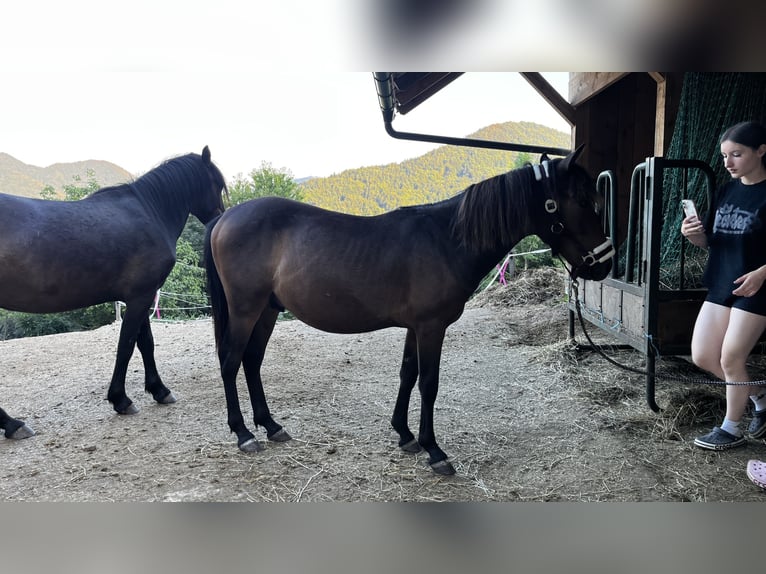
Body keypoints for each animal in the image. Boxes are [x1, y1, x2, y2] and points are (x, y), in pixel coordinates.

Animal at [0, 146, 227, 440]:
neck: (151, 210)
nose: (221, 219)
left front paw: (159, 390)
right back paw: (12, 424)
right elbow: (127, 346)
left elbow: (145, 343)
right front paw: (121, 399)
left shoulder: (140, 296)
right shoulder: (141, 297)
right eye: (217, 184)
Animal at [203, 146, 613, 475]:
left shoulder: (415, 328)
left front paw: (405, 434)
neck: (447, 239)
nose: (606, 262)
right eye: (582, 200)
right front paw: (435, 450)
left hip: (267, 311)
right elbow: (429, 383)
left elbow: (407, 374)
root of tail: (223, 219)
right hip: (245, 310)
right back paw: (243, 433)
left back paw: (271, 426)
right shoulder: (432, 327)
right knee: (230, 361)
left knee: (251, 361)